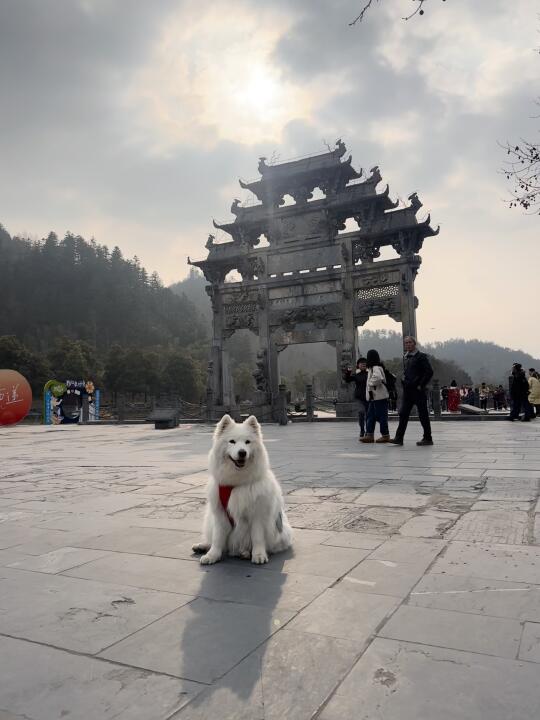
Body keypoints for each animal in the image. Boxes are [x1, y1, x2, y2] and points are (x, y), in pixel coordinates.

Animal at [192, 414, 293, 565]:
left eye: (247, 442)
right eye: (232, 441)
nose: (242, 453)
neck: (236, 483)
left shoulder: (257, 515)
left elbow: (257, 537)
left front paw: (258, 555)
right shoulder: (220, 514)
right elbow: (217, 538)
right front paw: (212, 555)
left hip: (281, 532)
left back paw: (245, 553)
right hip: (209, 520)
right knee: (213, 539)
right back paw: (202, 546)